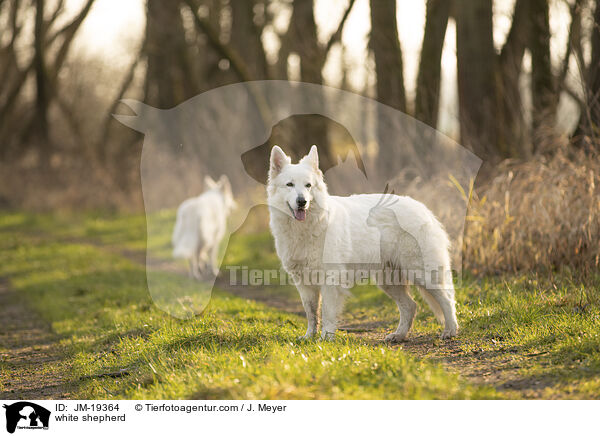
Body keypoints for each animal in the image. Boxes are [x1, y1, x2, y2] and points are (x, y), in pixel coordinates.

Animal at [268, 145, 460, 342]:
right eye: (290, 185)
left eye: (308, 185)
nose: (302, 202)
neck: (306, 227)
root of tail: (423, 208)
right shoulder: (303, 283)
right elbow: (311, 313)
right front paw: (309, 337)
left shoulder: (330, 280)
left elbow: (327, 313)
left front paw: (325, 339)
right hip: (388, 280)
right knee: (410, 306)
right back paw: (399, 335)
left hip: (421, 273)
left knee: (447, 299)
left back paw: (450, 330)